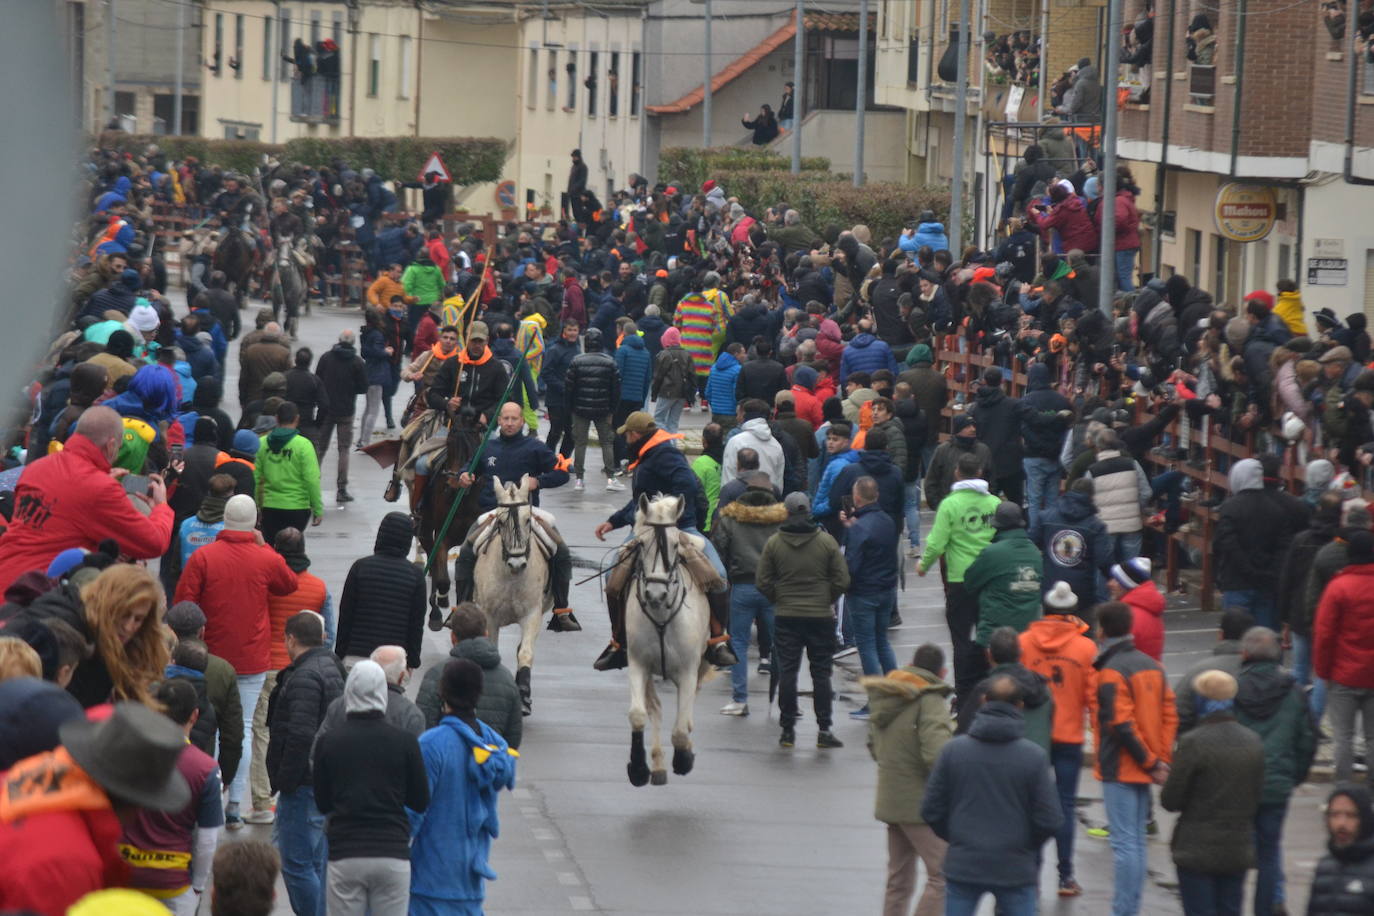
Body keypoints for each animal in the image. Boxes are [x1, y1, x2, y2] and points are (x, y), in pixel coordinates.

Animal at [412, 409, 483, 631]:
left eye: (473, 443)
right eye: (450, 442)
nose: (453, 482)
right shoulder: (443, 535)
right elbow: (442, 574)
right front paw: (439, 607)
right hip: (426, 527)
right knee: (431, 554)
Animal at [472, 480, 552, 714]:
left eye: (528, 519)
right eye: (500, 521)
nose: (517, 563)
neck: (511, 577)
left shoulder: (532, 614)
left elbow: (525, 653)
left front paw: (523, 695)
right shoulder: (489, 617)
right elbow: (491, 647)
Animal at [623, 494, 708, 791]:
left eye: (674, 543)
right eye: (642, 543)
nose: (655, 594)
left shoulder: (688, 670)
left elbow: (681, 729)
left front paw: (684, 758)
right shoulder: (638, 663)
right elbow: (638, 714)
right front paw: (638, 768)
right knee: (656, 709)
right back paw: (658, 765)